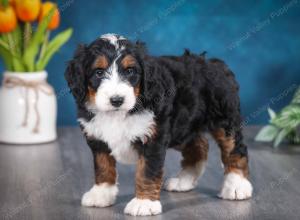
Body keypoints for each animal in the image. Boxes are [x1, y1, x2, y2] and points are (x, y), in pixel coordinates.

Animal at [65, 33, 253, 217]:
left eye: (130, 71)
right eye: (98, 72)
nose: (117, 100)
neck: (119, 114)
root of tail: (215, 63)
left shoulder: (153, 137)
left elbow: (147, 171)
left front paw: (144, 203)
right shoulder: (98, 138)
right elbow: (103, 166)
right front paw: (101, 193)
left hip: (224, 120)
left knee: (235, 149)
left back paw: (237, 185)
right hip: (181, 126)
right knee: (199, 146)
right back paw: (184, 180)